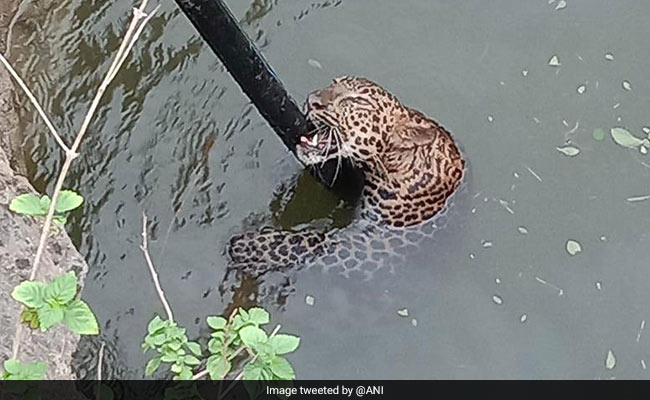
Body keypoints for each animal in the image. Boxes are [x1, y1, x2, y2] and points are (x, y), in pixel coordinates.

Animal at [223, 76, 466, 300]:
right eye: (333, 83)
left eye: (356, 101)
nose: (312, 100)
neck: (395, 162)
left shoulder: (375, 245)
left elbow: (316, 242)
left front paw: (252, 247)